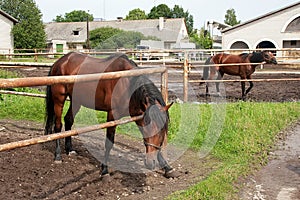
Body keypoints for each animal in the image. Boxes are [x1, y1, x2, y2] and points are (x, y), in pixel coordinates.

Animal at [44, 52, 176, 178]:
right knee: (57, 126)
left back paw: (70, 149)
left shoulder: (139, 117)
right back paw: (58, 155)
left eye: (163, 130)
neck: (127, 84)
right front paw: (104, 170)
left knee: (68, 120)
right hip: (59, 100)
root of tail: (60, 61)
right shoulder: (113, 115)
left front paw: (167, 167)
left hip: (76, 100)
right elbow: (109, 143)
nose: (150, 163)